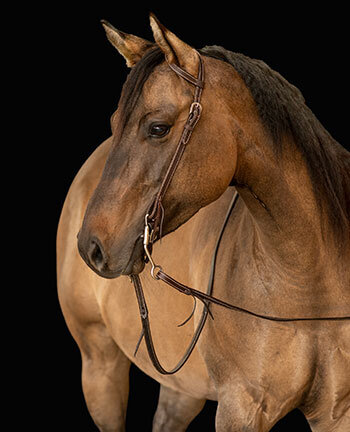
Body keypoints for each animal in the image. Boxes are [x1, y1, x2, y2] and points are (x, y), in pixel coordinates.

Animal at [57, 14, 350, 432]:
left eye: (158, 128)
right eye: (114, 123)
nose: (90, 246)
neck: (306, 287)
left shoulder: (336, 411)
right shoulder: (240, 408)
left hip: (182, 387)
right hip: (100, 367)